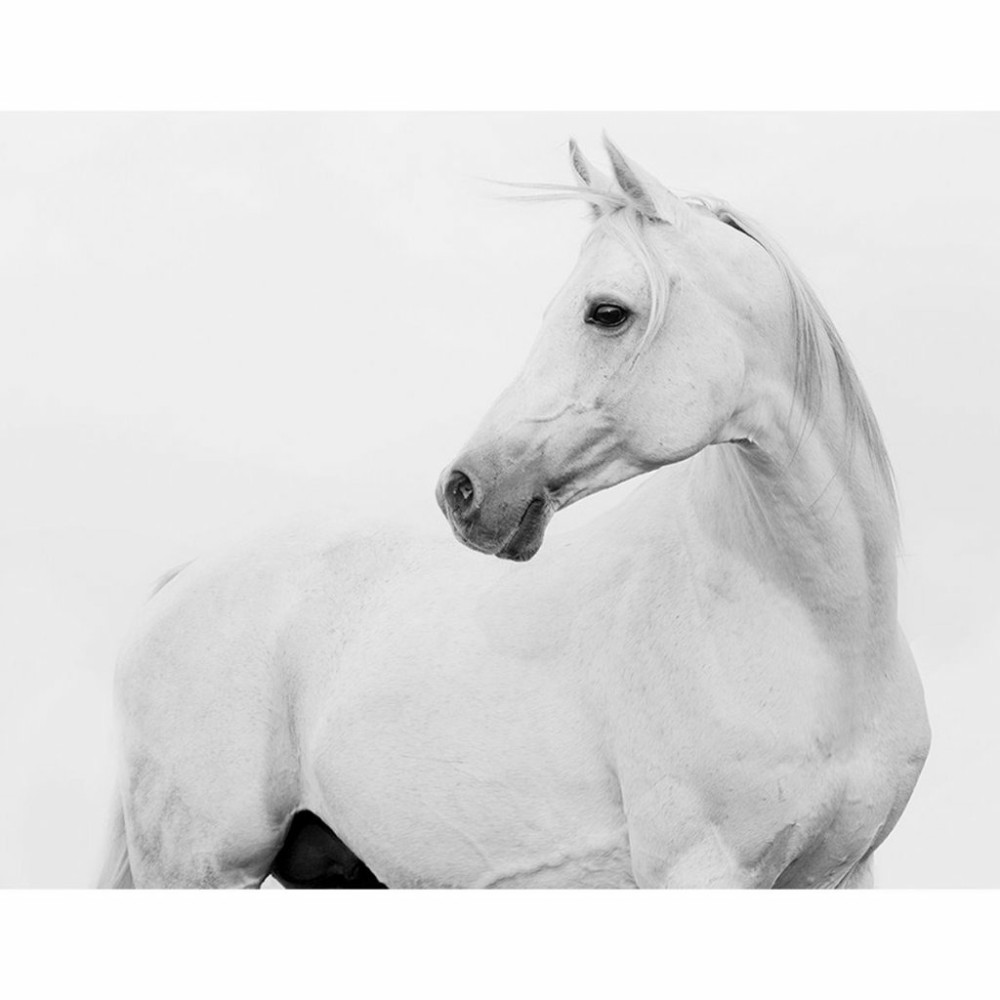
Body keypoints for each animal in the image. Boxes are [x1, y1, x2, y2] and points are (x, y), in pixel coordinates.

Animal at [98, 137, 930, 889]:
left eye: (606, 312)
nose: (463, 490)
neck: (818, 632)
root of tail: (183, 580)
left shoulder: (841, 876)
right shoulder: (702, 871)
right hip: (201, 871)